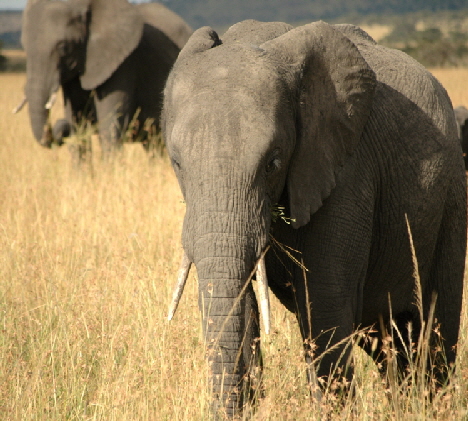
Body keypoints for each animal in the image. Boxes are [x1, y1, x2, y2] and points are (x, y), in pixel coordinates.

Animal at [19, 0, 192, 161]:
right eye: (24, 47)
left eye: (64, 47)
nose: (60, 124)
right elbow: (76, 122)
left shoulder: (123, 63)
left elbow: (109, 124)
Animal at [162, 20, 468, 416]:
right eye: (177, 163)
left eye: (274, 162)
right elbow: (240, 304)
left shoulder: (346, 171)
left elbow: (324, 303)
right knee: (391, 345)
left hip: (451, 198)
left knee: (433, 334)